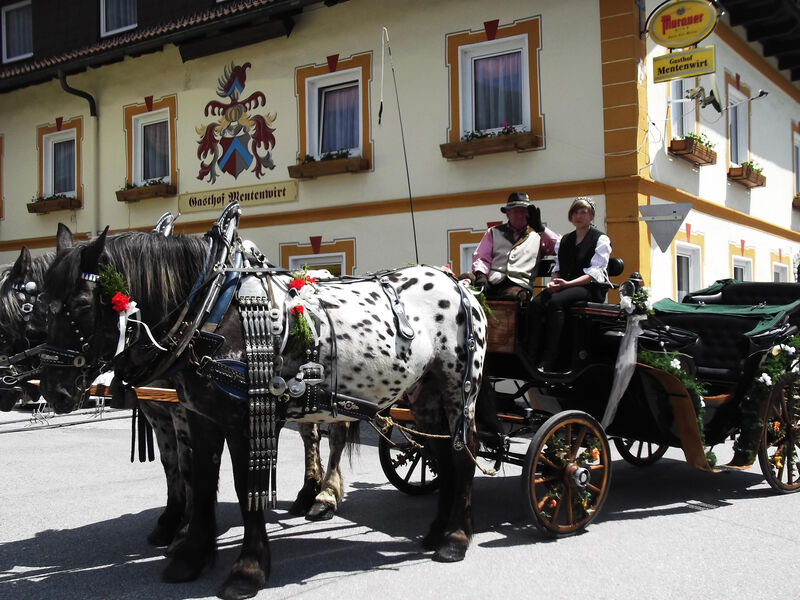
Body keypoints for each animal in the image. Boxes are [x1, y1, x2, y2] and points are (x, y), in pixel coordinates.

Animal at [37, 203, 488, 600]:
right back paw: (435, 531)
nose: (53, 391)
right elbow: (202, 481)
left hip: (458, 389)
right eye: (42, 306)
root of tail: (460, 285)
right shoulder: (201, 418)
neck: (211, 309)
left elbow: (244, 488)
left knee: (463, 454)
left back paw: (455, 538)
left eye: (80, 305)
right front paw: (191, 557)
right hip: (425, 395)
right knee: (440, 454)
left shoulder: (242, 421)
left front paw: (247, 571)